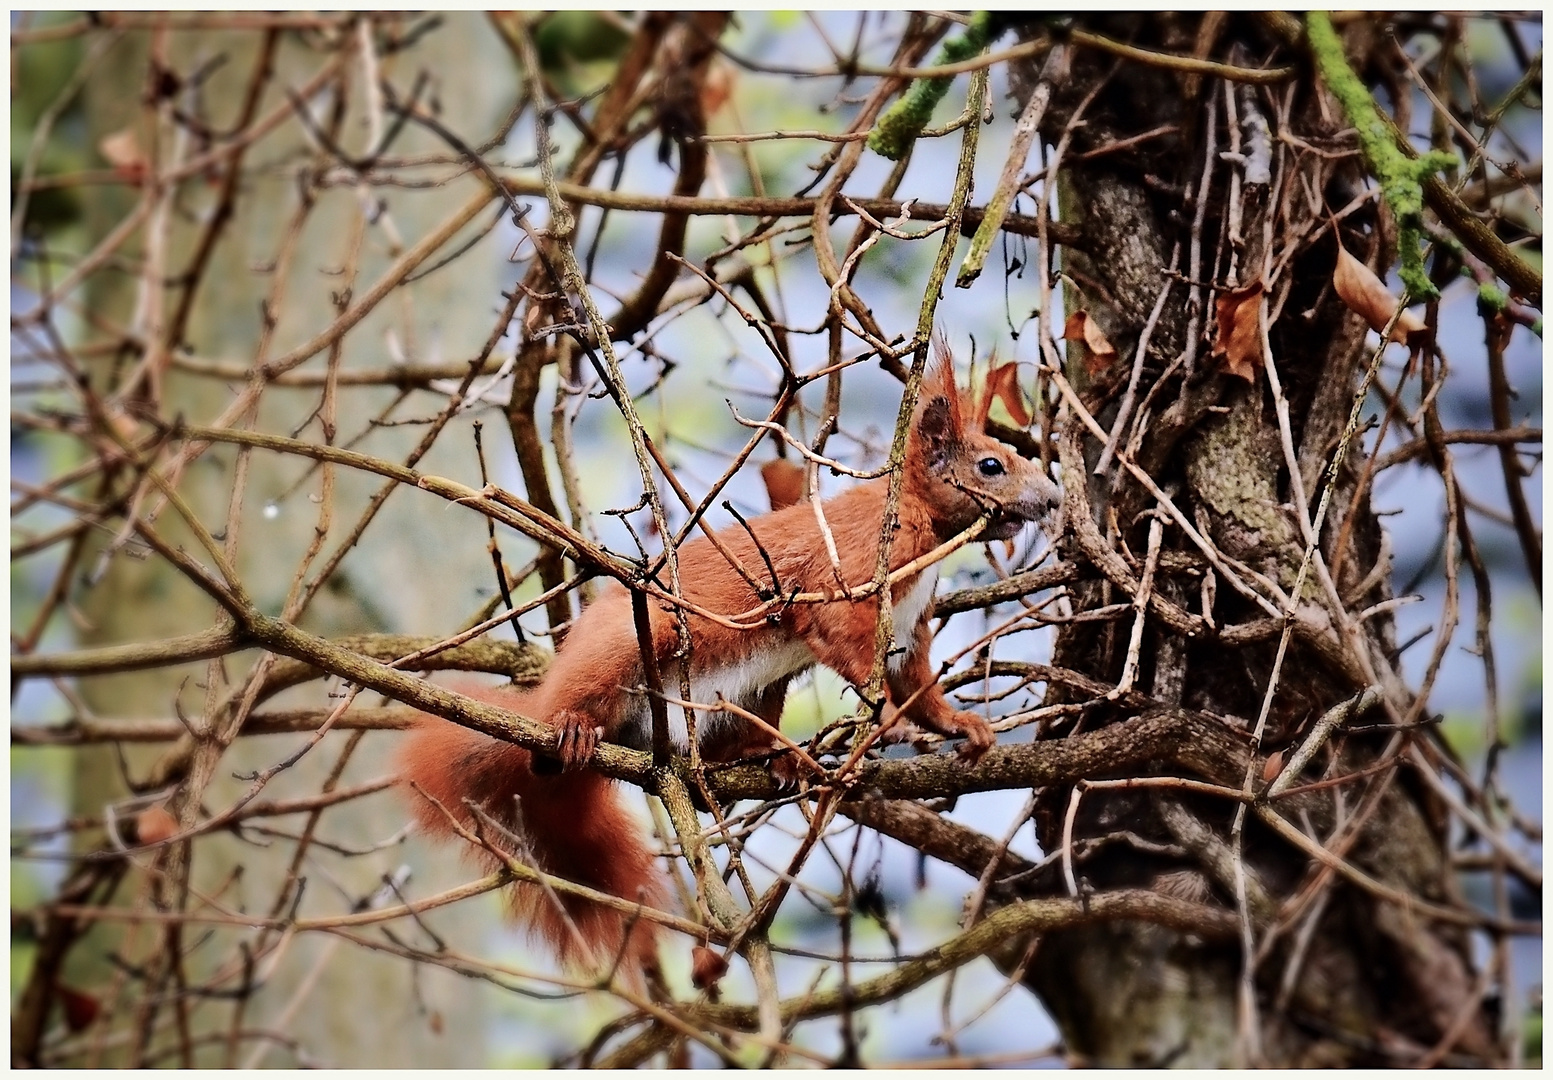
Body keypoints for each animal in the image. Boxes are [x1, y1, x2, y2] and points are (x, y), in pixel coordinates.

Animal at [394, 344, 1062, 982]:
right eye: (992, 465)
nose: (1056, 499)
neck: (923, 518)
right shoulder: (851, 566)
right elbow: (844, 642)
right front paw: (890, 723)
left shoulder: (906, 627)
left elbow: (913, 678)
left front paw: (959, 726)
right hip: (627, 651)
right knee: (563, 726)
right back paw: (575, 730)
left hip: (753, 695)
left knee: (726, 745)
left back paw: (773, 758)